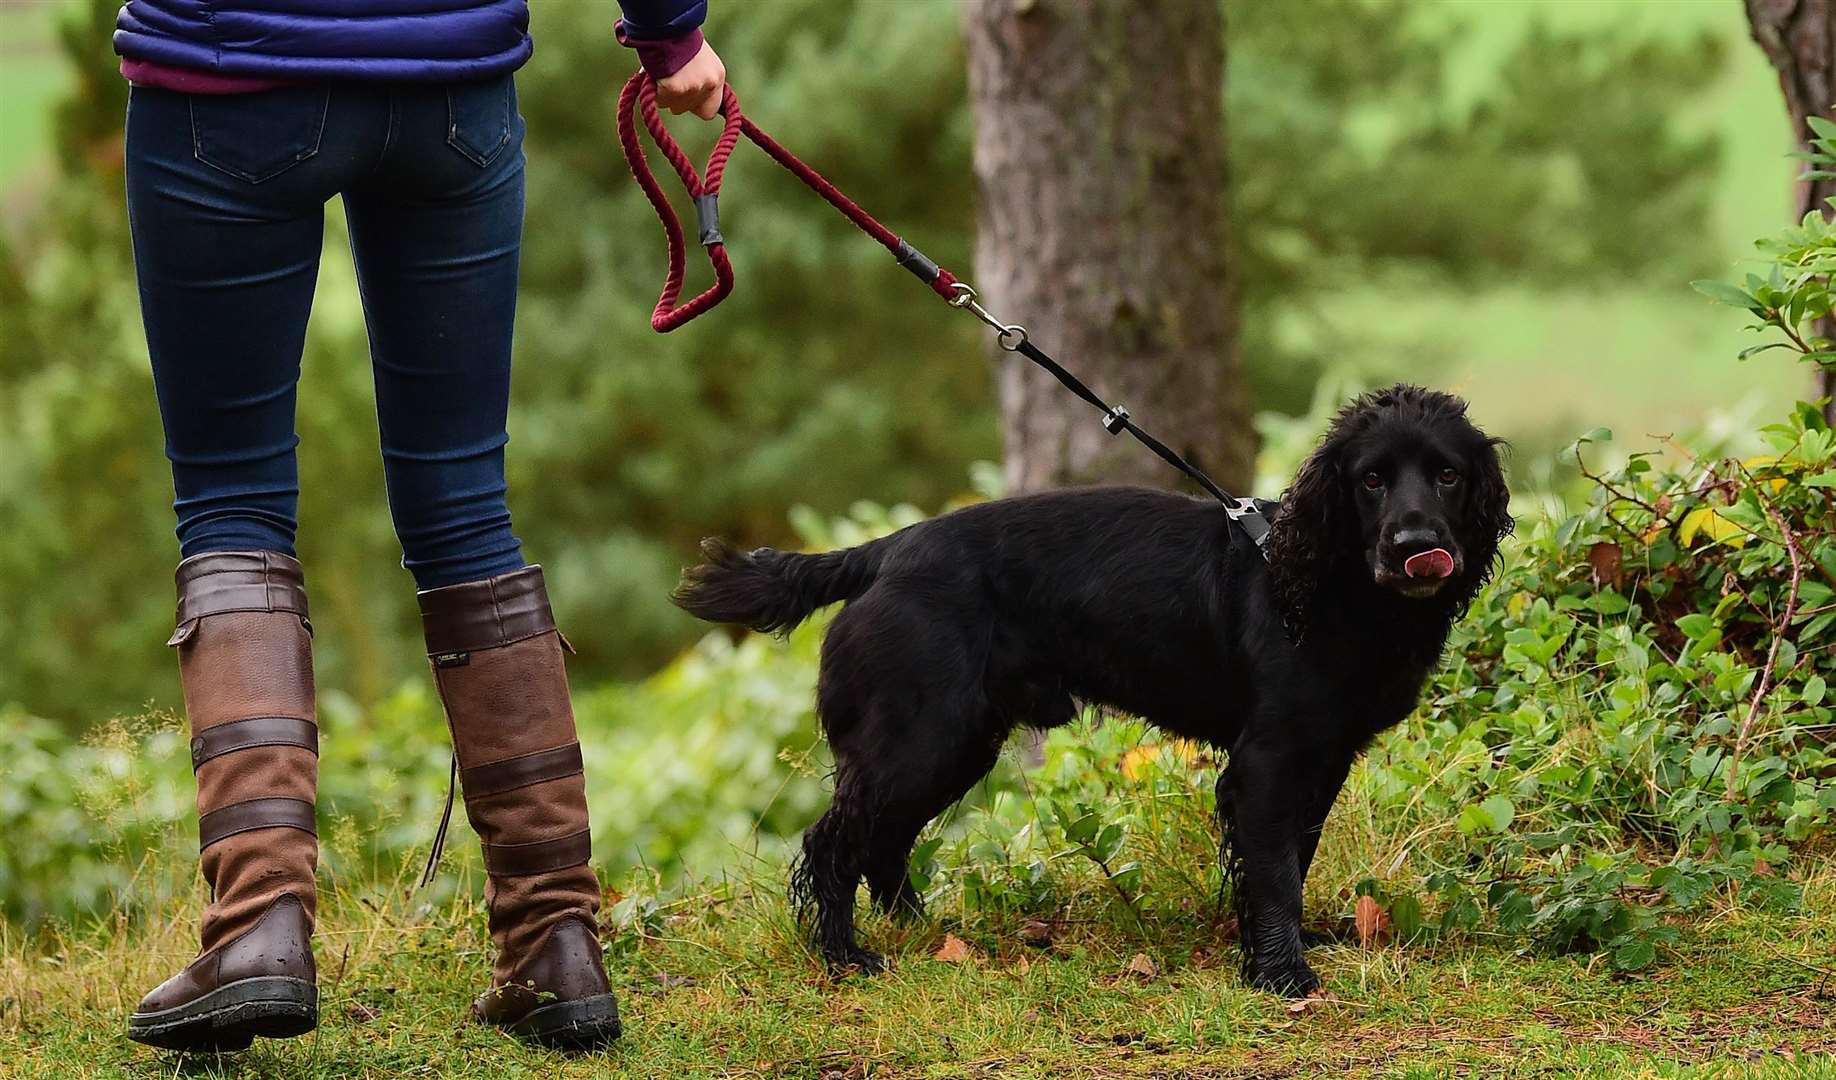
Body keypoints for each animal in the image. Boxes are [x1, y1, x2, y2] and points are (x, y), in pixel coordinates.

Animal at [675, 382, 1505, 999]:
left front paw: (1283, 950)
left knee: (884, 839)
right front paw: (1280, 972)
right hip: (920, 738)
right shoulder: (1267, 761)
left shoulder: (1322, 758)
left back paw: (919, 933)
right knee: (834, 841)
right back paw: (845, 957)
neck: (1328, 586)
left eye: (1448, 474)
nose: (1416, 546)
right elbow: (1273, 873)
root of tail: (884, 553)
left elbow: (1293, 860)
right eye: (1371, 479)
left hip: (956, 744)